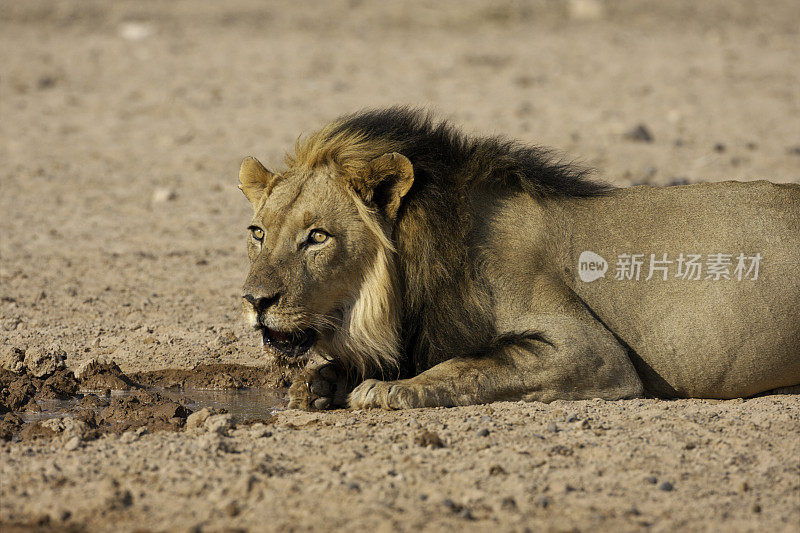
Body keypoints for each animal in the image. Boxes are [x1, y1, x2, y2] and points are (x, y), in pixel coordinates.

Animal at [238, 106, 800, 410]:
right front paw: (316, 385)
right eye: (258, 233)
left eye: (317, 237)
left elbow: (468, 364)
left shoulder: (591, 353)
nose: (255, 301)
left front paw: (385, 390)